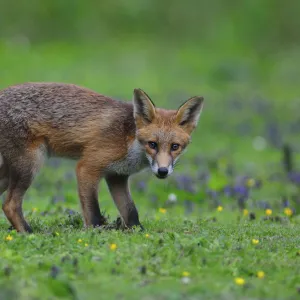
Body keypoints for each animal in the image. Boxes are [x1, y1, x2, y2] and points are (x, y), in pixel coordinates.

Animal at [0, 82, 204, 232]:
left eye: (175, 147)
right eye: (152, 144)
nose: (162, 171)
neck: (129, 141)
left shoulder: (117, 176)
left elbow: (131, 212)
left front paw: (139, 233)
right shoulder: (88, 167)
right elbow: (93, 212)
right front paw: (96, 234)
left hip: (7, 175)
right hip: (29, 167)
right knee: (10, 205)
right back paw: (29, 232)